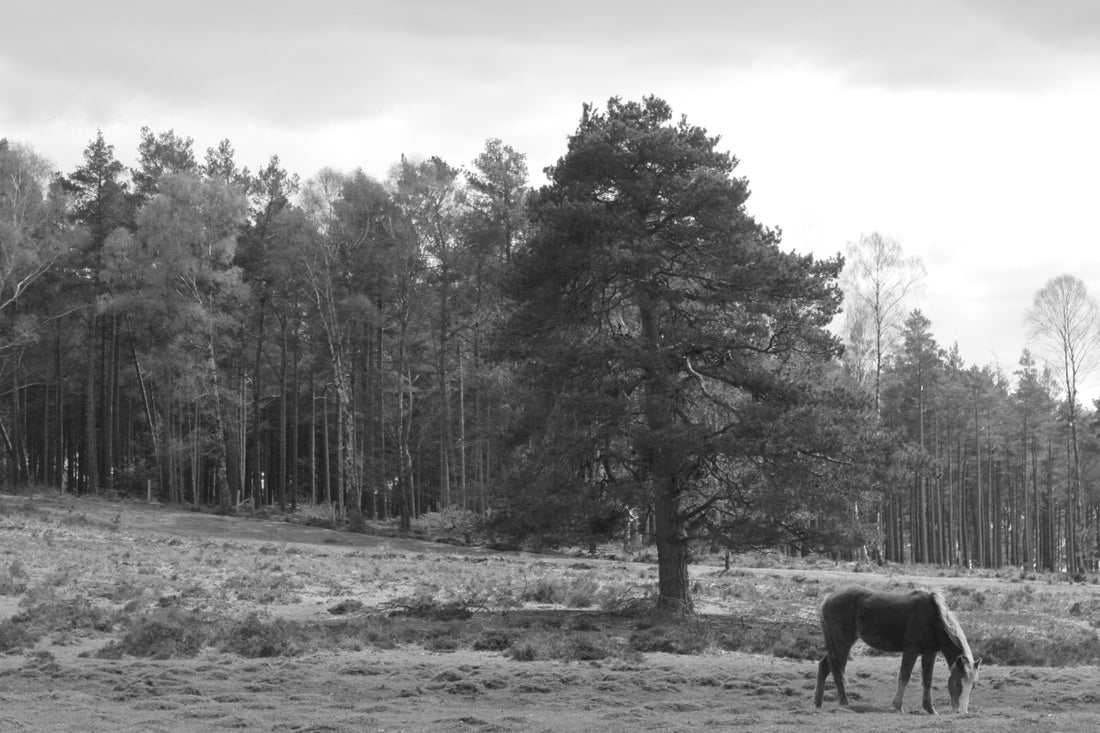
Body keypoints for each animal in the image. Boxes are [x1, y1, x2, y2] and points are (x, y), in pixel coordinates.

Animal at [814, 585, 985, 708]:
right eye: (957, 683)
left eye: (973, 686)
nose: (961, 710)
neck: (933, 619)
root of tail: (828, 598)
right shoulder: (911, 650)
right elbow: (904, 676)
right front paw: (898, 706)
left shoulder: (930, 653)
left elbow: (927, 680)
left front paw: (929, 709)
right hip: (842, 644)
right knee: (836, 670)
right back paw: (844, 702)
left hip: (836, 645)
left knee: (824, 666)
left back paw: (818, 703)